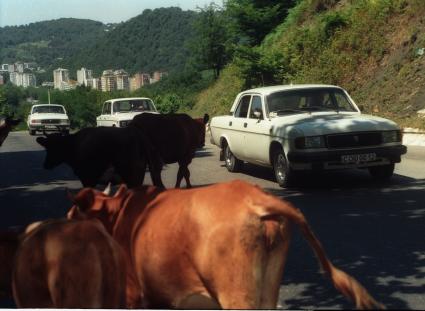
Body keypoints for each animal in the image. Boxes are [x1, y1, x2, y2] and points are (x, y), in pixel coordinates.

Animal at [68, 180, 382, 310]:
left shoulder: (134, 294)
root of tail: (251, 195)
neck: (122, 214)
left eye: (72, 216)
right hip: (267, 288)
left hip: (236, 294)